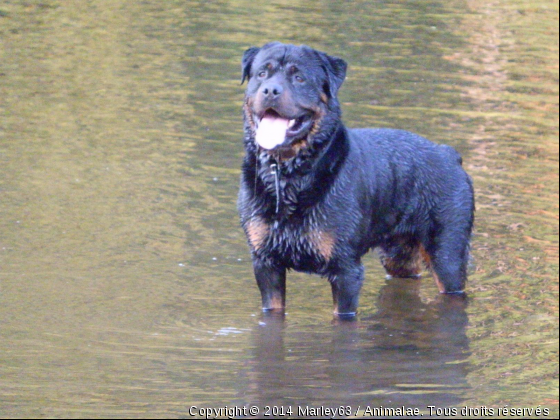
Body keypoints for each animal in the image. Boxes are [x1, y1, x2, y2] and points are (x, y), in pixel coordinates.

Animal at [238, 43, 474, 318]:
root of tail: (449, 154)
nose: (271, 90)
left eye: (299, 78)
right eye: (262, 74)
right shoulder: (265, 263)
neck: (288, 176)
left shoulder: (346, 268)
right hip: (399, 255)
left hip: (447, 253)